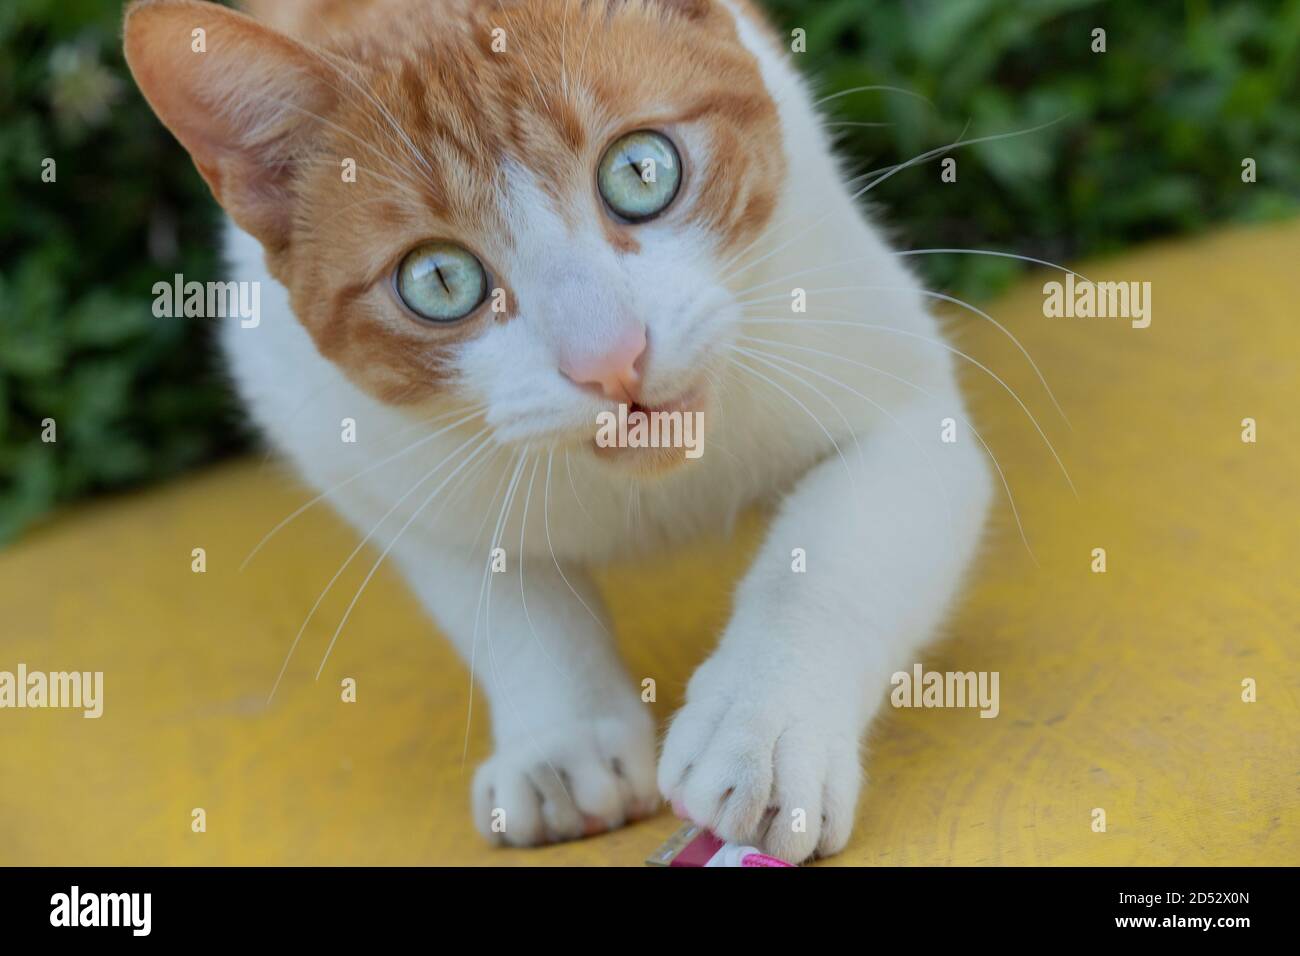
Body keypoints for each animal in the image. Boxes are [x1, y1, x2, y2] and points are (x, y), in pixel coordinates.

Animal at [124, 0, 993, 858]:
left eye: (641, 171)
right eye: (438, 280)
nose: (610, 360)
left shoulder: (888, 379)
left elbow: (828, 561)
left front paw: (764, 729)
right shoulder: (347, 444)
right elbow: (501, 599)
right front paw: (563, 742)